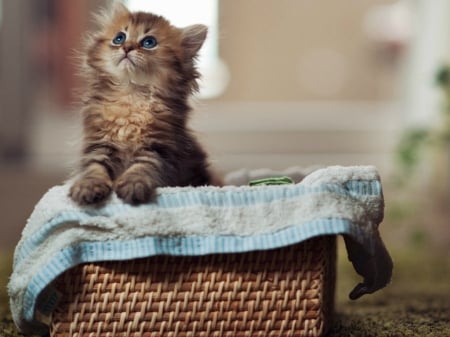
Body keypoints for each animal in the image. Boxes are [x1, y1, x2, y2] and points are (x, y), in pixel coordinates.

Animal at [68, 1, 218, 205]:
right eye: (119, 38)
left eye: (149, 42)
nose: (126, 47)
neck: (131, 95)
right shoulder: (99, 143)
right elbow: (94, 167)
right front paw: (88, 186)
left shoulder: (158, 147)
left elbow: (143, 167)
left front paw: (133, 185)